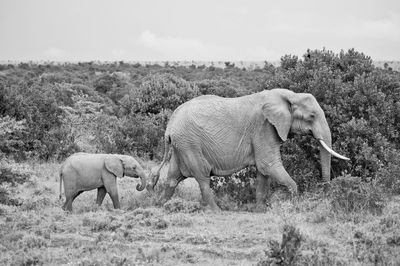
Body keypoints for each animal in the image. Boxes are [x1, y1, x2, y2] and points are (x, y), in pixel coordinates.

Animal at [145, 88, 348, 211]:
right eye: (312, 116)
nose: (325, 190)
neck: (289, 95)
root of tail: (169, 125)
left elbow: (263, 173)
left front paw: (260, 210)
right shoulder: (264, 127)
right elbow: (268, 165)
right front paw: (294, 205)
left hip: (181, 145)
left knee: (173, 178)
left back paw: (157, 205)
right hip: (190, 143)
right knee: (202, 177)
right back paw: (217, 211)